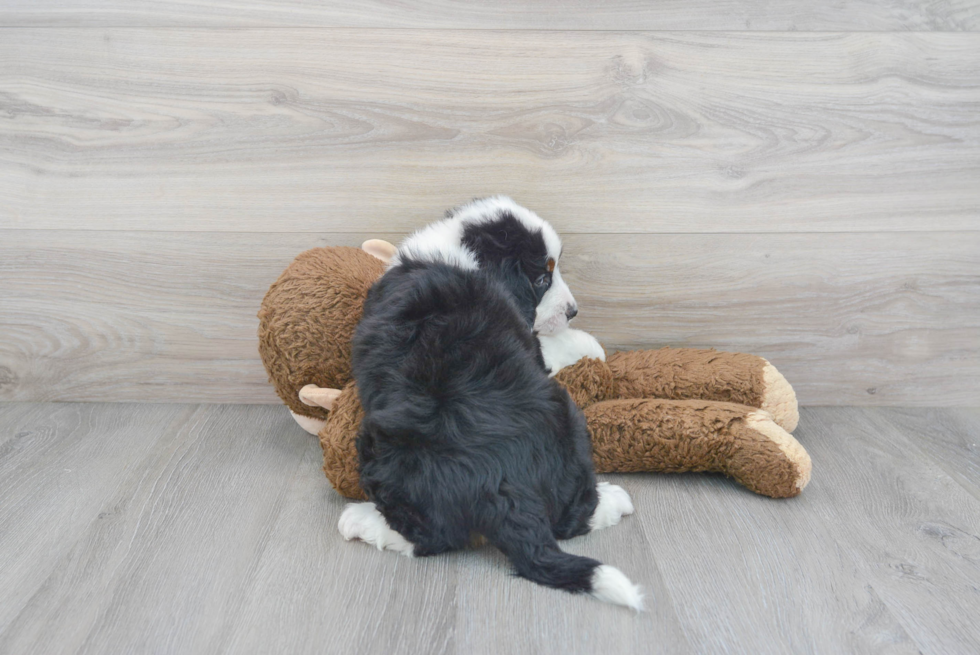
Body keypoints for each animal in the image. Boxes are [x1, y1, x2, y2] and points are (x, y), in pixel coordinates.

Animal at [338, 195, 644, 608]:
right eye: (542, 279)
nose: (573, 311)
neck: (464, 254)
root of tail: (500, 483)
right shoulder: (530, 340)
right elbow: (550, 343)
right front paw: (588, 344)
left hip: (382, 444)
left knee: (435, 534)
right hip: (568, 419)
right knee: (565, 517)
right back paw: (613, 499)